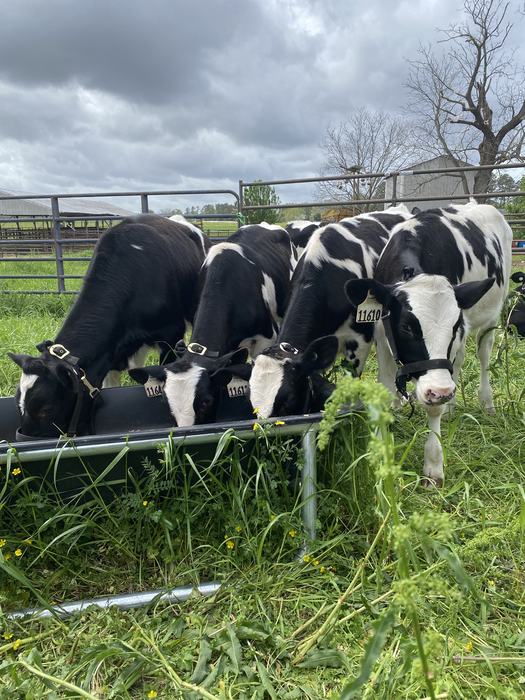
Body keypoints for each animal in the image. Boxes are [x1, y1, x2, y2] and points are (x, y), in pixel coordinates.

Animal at [344, 201, 512, 487]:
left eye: (453, 326)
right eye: (406, 327)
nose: (441, 391)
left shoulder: (457, 338)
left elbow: (434, 410)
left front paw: (433, 465)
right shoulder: (382, 335)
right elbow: (386, 388)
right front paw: (382, 454)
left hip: (490, 318)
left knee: (483, 355)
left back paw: (485, 402)